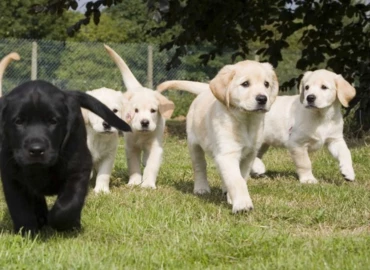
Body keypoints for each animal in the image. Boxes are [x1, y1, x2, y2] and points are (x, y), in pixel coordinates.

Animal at [0, 79, 132, 234]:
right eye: (19, 121)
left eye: (53, 121)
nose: (36, 150)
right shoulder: (12, 177)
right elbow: (20, 209)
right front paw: (28, 231)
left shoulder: (79, 169)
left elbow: (68, 205)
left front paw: (62, 223)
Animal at [104, 44, 173, 189]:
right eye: (135, 110)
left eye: (153, 110)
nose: (145, 122)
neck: (142, 134)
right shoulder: (130, 147)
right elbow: (134, 165)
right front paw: (134, 182)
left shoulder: (156, 147)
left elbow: (152, 166)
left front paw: (148, 184)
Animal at [158, 61, 278, 213]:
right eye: (245, 84)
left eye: (266, 84)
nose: (262, 98)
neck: (246, 121)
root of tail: (205, 90)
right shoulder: (227, 153)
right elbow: (237, 180)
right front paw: (242, 205)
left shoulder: (249, 155)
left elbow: (242, 176)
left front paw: (233, 198)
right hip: (194, 144)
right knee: (200, 166)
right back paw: (201, 188)